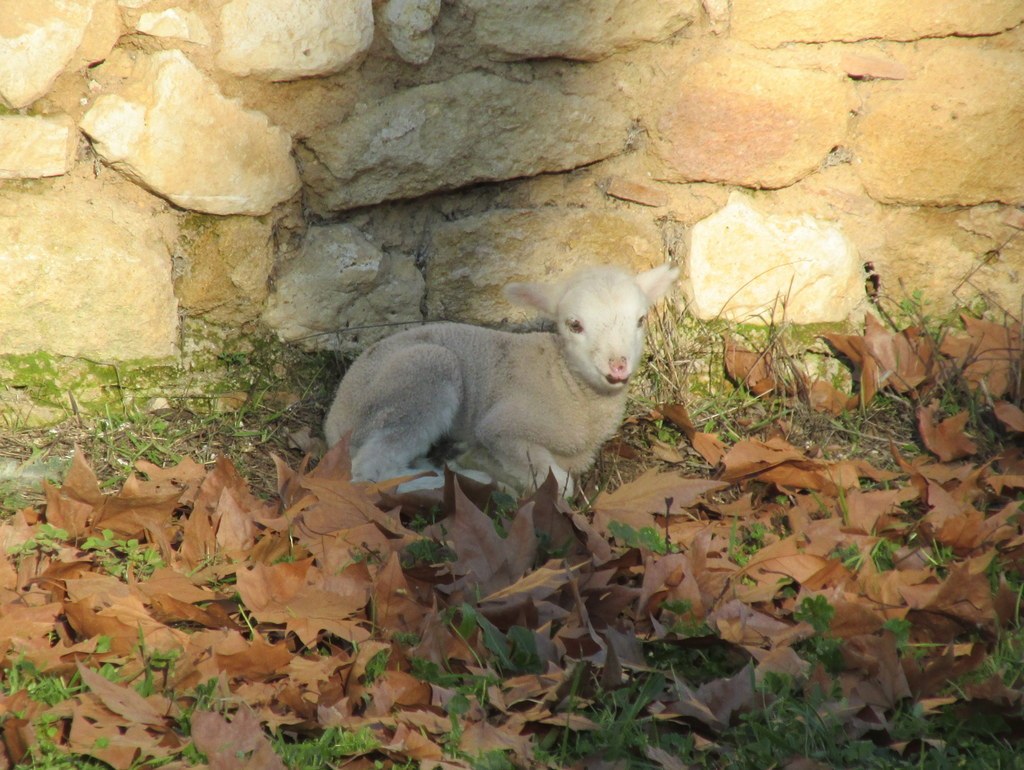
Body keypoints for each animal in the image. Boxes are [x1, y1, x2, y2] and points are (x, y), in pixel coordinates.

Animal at [323, 264, 679, 493]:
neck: (567, 384)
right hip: (416, 379)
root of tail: (334, 418)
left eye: (641, 319)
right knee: (370, 471)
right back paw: (456, 481)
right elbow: (561, 486)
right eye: (574, 325)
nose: (618, 366)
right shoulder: (504, 427)